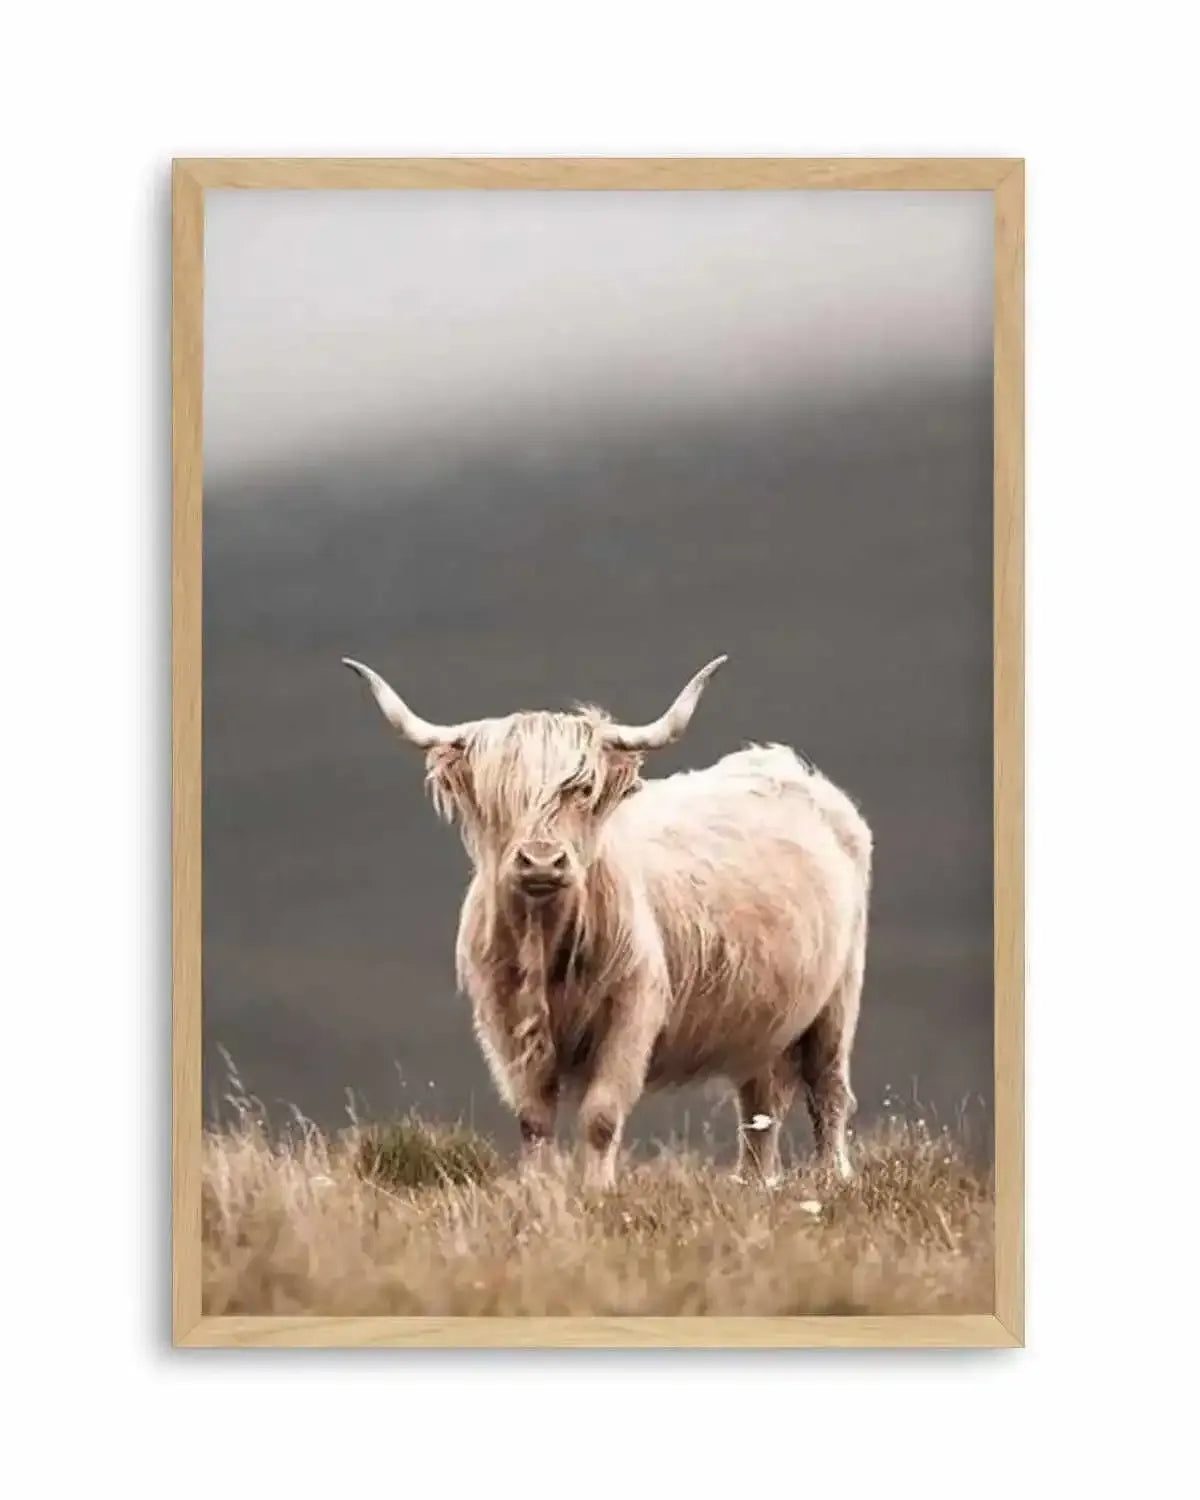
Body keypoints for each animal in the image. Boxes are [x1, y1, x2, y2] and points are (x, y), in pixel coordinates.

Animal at [343, 655, 872, 1190]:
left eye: (582, 790)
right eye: (499, 796)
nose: (541, 861)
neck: (547, 946)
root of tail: (782, 764)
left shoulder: (632, 1012)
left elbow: (601, 1115)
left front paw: (598, 1191)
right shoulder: (505, 1021)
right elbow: (533, 1118)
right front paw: (538, 1188)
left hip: (838, 997)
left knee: (828, 1089)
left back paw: (834, 1177)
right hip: (763, 1019)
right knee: (760, 1104)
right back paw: (754, 1184)